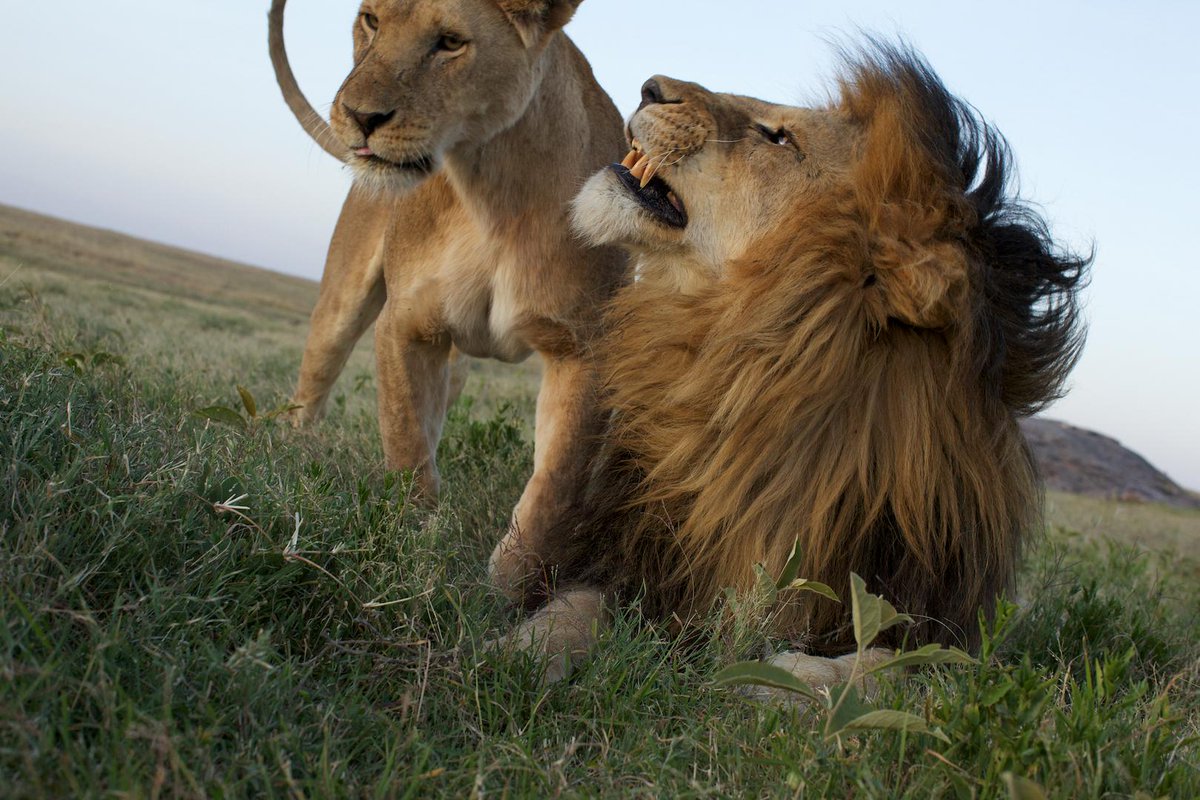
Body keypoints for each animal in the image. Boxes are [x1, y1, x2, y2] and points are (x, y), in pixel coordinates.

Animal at [268, 0, 628, 593]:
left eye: (451, 43)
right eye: (370, 19)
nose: (359, 116)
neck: (492, 193)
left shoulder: (581, 349)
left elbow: (554, 488)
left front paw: (504, 591)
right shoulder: (404, 326)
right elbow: (408, 444)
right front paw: (413, 549)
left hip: (458, 366)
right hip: (341, 306)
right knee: (313, 381)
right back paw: (288, 452)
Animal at [501, 43, 1090, 686]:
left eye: (780, 138)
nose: (650, 88)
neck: (741, 371)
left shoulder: (946, 632)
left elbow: (888, 669)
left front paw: (771, 687)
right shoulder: (636, 557)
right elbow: (574, 607)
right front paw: (518, 654)